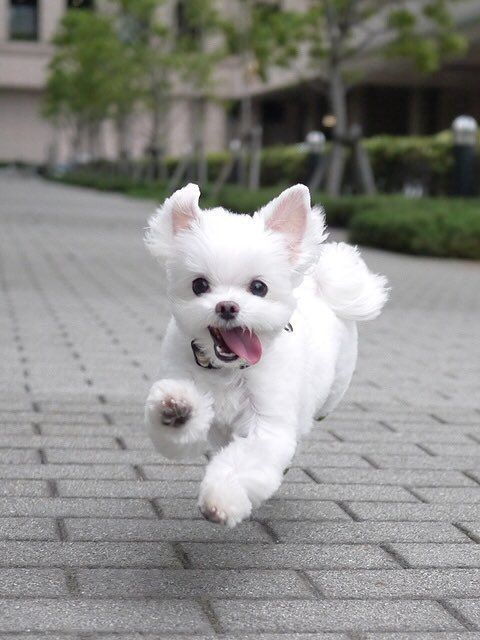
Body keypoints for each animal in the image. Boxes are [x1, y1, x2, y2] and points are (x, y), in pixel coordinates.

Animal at [144, 182, 388, 528]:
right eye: (199, 285)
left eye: (258, 287)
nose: (227, 306)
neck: (229, 370)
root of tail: (318, 285)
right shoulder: (181, 372)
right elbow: (179, 423)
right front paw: (177, 409)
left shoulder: (268, 424)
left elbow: (243, 462)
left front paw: (220, 500)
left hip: (334, 388)